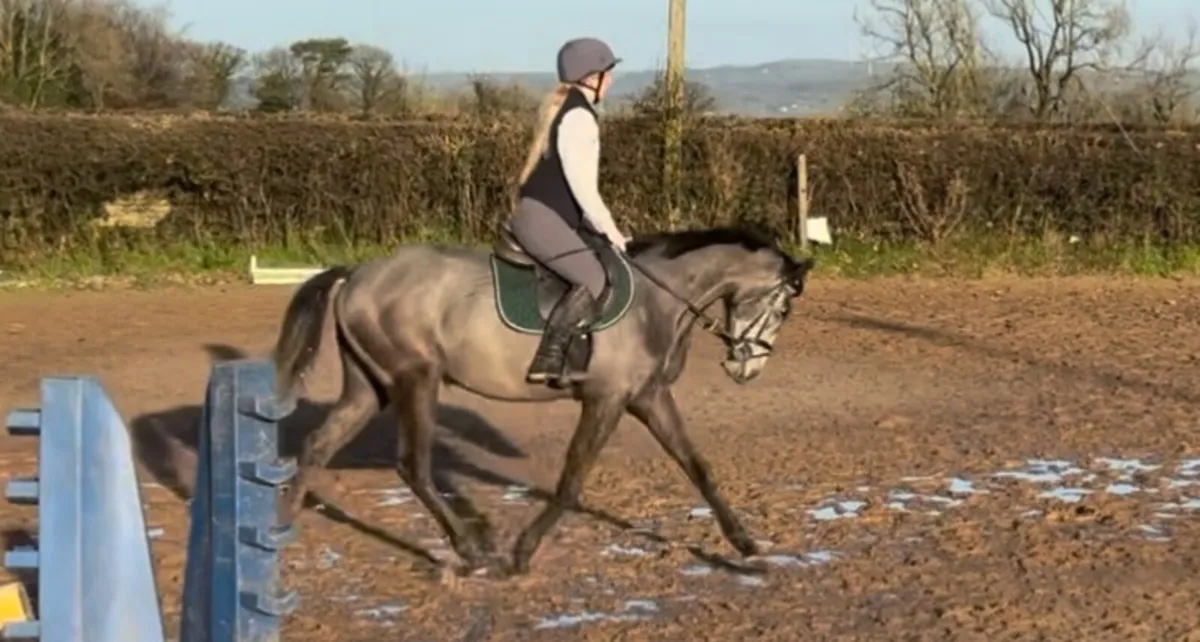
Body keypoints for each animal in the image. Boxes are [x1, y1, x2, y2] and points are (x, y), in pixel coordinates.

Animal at [270, 225, 814, 577]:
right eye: (784, 308)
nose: (747, 369)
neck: (657, 300)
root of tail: (359, 274)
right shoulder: (606, 399)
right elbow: (572, 480)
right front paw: (522, 552)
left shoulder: (648, 396)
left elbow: (697, 466)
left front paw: (747, 547)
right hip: (416, 379)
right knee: (412, 465)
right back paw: (471, 552)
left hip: (370, 386)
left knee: (319, 445)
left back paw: (278, 529)